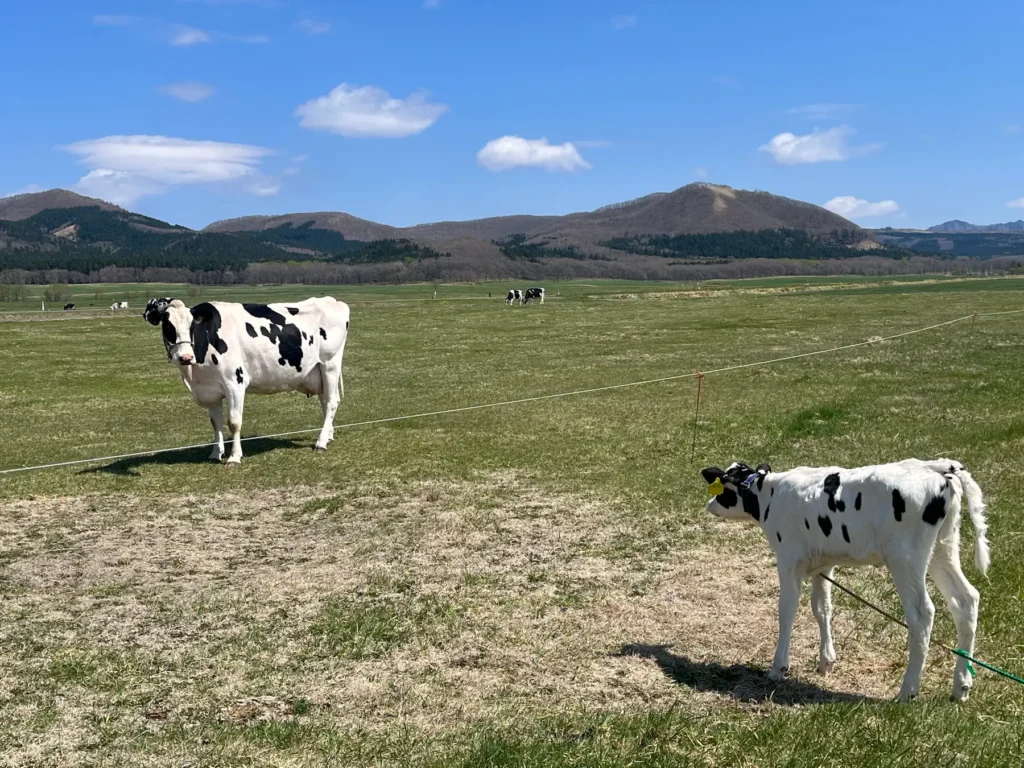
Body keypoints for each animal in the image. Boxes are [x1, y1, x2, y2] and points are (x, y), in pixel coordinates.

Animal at [142, 294, 352, 462]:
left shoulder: (234, 383)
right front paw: (215, 454)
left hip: (330, 364)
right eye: (167, 326)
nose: (185, 357)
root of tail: (333, 301)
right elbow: (215, 422)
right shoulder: (211, 389)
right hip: (316, 372)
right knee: (324, 401)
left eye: (192, 326)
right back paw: (329, 435)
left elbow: (234, 422)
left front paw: (234, 457)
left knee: (332, 402)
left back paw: (321, 442)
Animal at [700, 456, 987, 704]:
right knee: (966, 600)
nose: (709, 504)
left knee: (922, 613)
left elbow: (787, 610)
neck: (769, 494)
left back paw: (908, 691)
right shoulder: (823, 564)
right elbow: (822, 608)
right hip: (943, 549)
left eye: (723, 488)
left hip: (906, 559)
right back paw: (961, 685)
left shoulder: (788, 560)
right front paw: (826, 661)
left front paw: (778, 667)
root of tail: (937, 467)